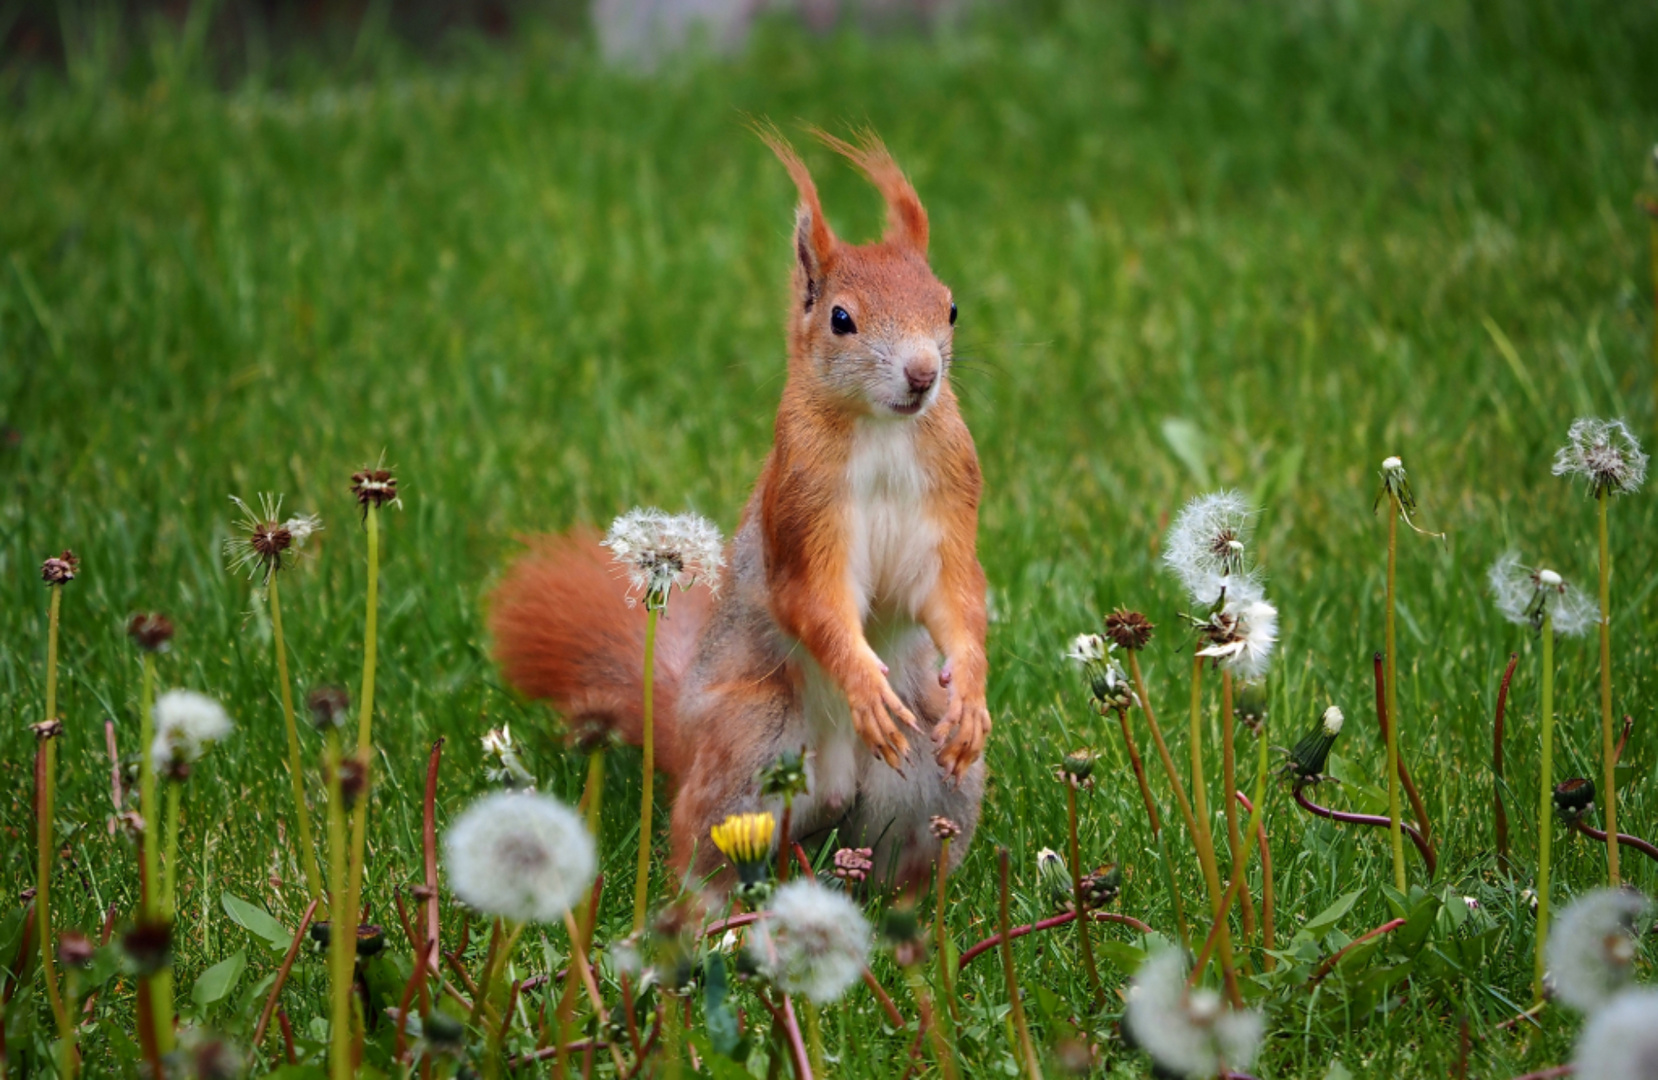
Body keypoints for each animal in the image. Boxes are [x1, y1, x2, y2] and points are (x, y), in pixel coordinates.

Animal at [484, 126, 988, 889]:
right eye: (841, 319)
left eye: (949, 307)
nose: (924, 374)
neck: (883, 431)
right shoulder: (800, 514)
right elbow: (813, 603)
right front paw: (862, 683)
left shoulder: (949, 503)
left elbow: (955, 597)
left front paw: (973, 693)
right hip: (750, 747)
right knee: (705, 848)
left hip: (927, 773)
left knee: (904, 854)